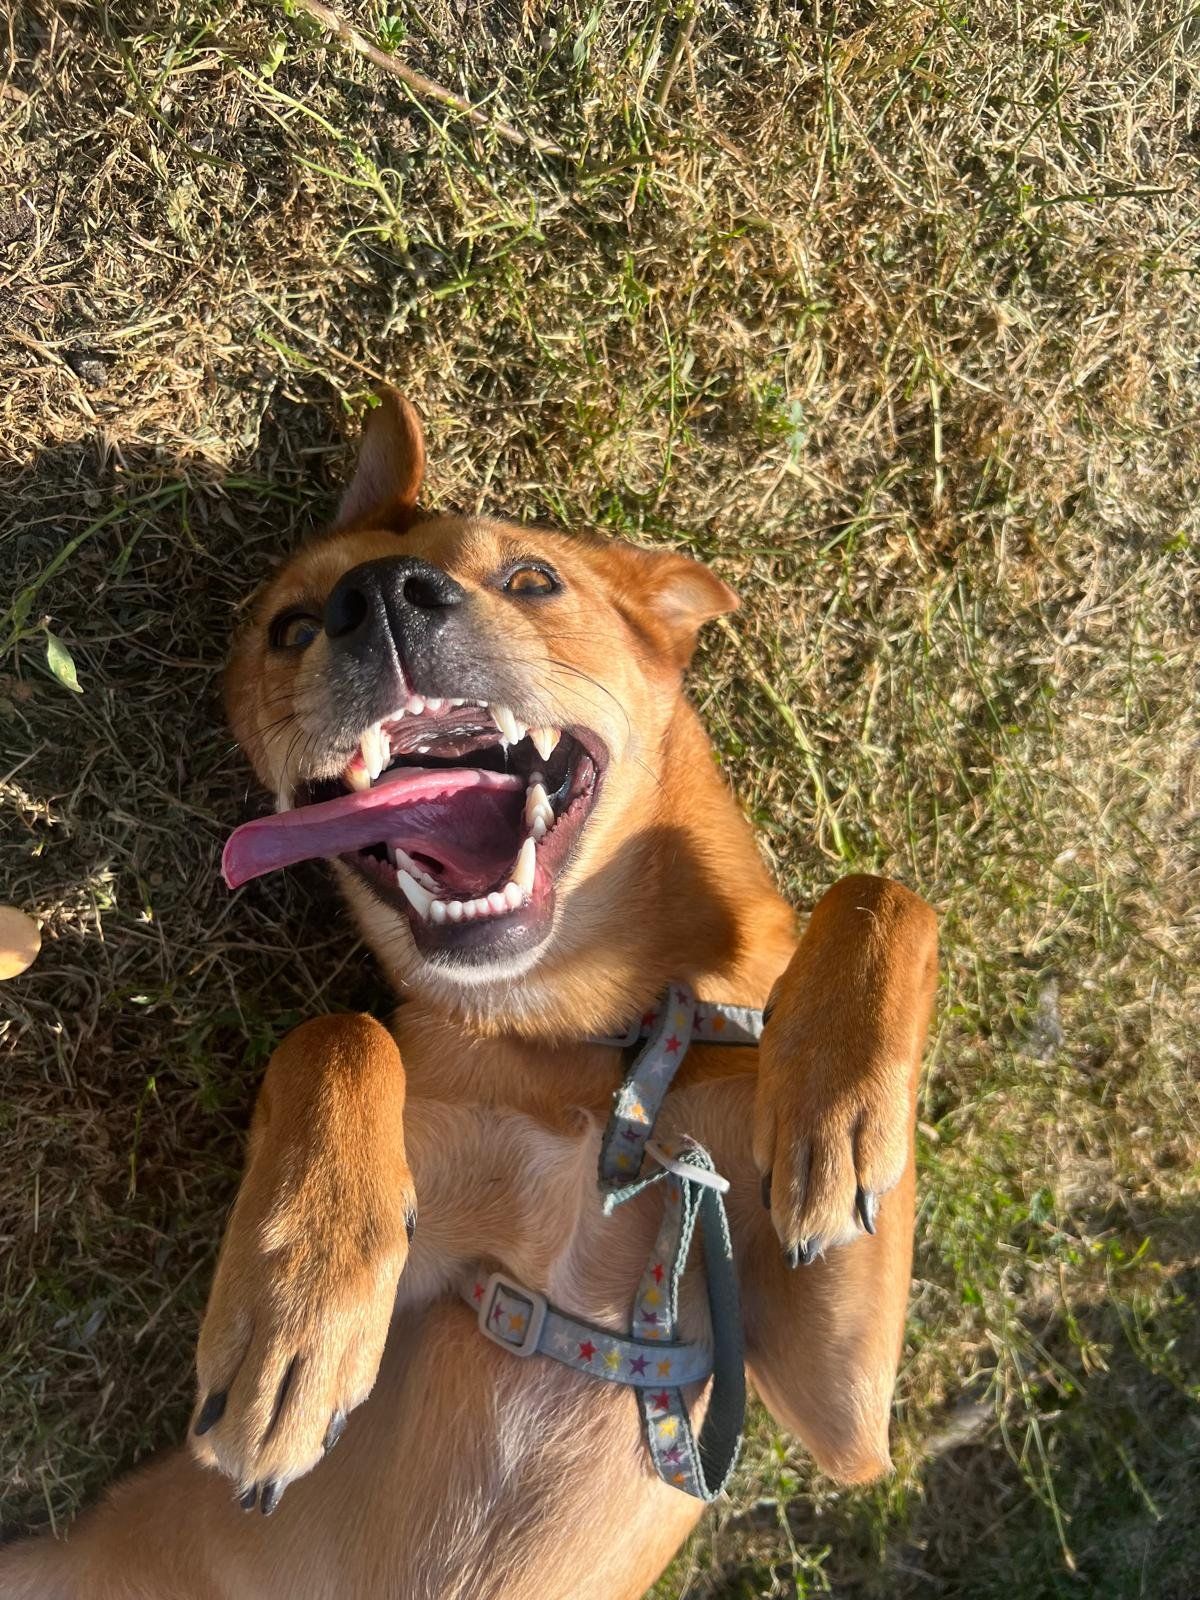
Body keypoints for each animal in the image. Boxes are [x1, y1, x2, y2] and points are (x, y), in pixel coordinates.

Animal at [1, 390, 937, 1600]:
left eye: (534, 577)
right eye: (289, 628)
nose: (378, 595)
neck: (587, 1046)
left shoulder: (837, 1411)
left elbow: (888, 887)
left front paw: (841, 1109)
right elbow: (339, 1030)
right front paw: (300, 1309)